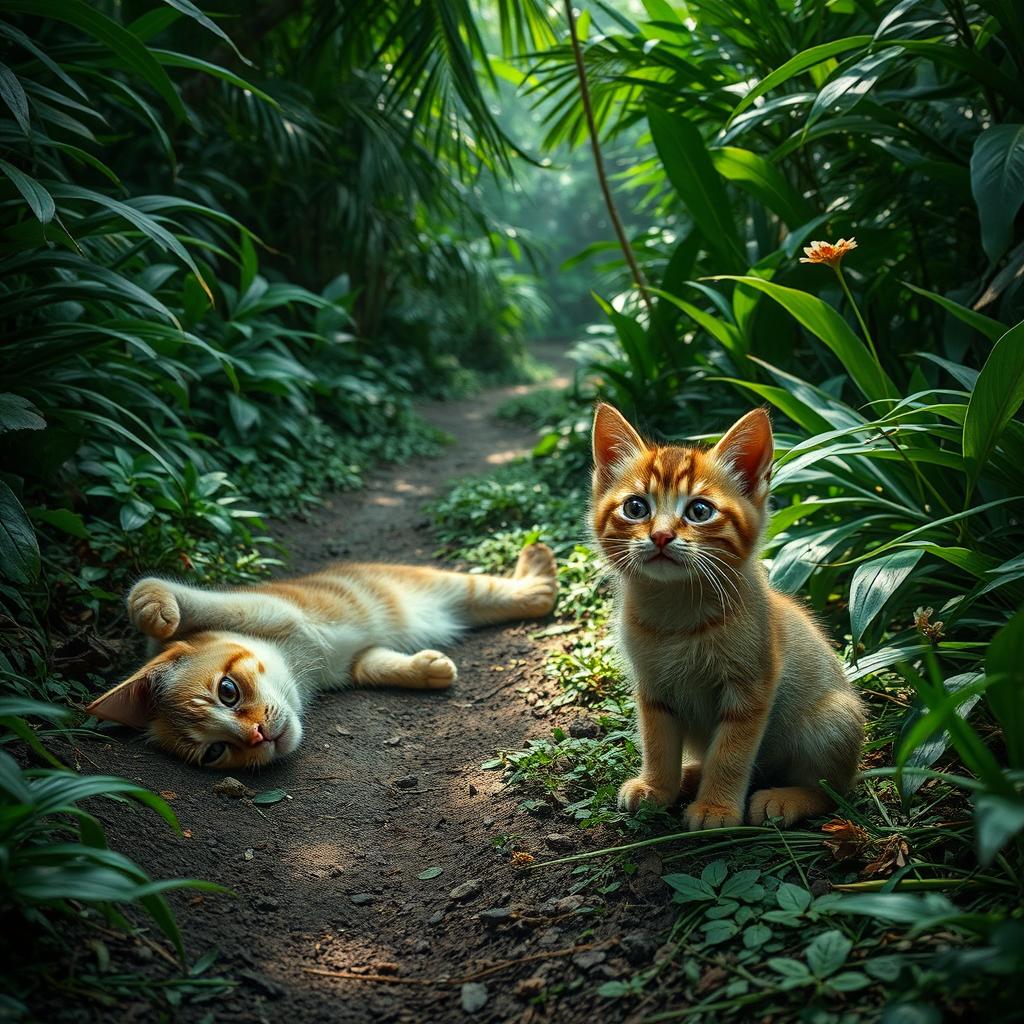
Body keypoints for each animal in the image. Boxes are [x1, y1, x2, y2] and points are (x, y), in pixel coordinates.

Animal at [86, 544, 561, 770]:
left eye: (228, 691)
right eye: (215, 752)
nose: (257, 736)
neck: (303, 663)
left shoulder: (257, 607)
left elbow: (176, 595)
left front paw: (154, 610)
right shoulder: (355, 662)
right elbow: (376, 664)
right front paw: (427, 669)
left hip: (449, 584)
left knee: (532, 593)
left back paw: (536, 557)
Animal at [593, 403, 864, 827]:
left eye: (699, 510)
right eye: (636, 508)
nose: (660, 536)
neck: (676, 613)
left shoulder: (751, 686)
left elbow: (731, 753)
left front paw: (716, 808)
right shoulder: (652, 686)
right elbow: (657, 741)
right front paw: (657, 787)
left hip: (832, 719)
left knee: (833, 791)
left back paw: (786, 798)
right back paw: (689, 775)